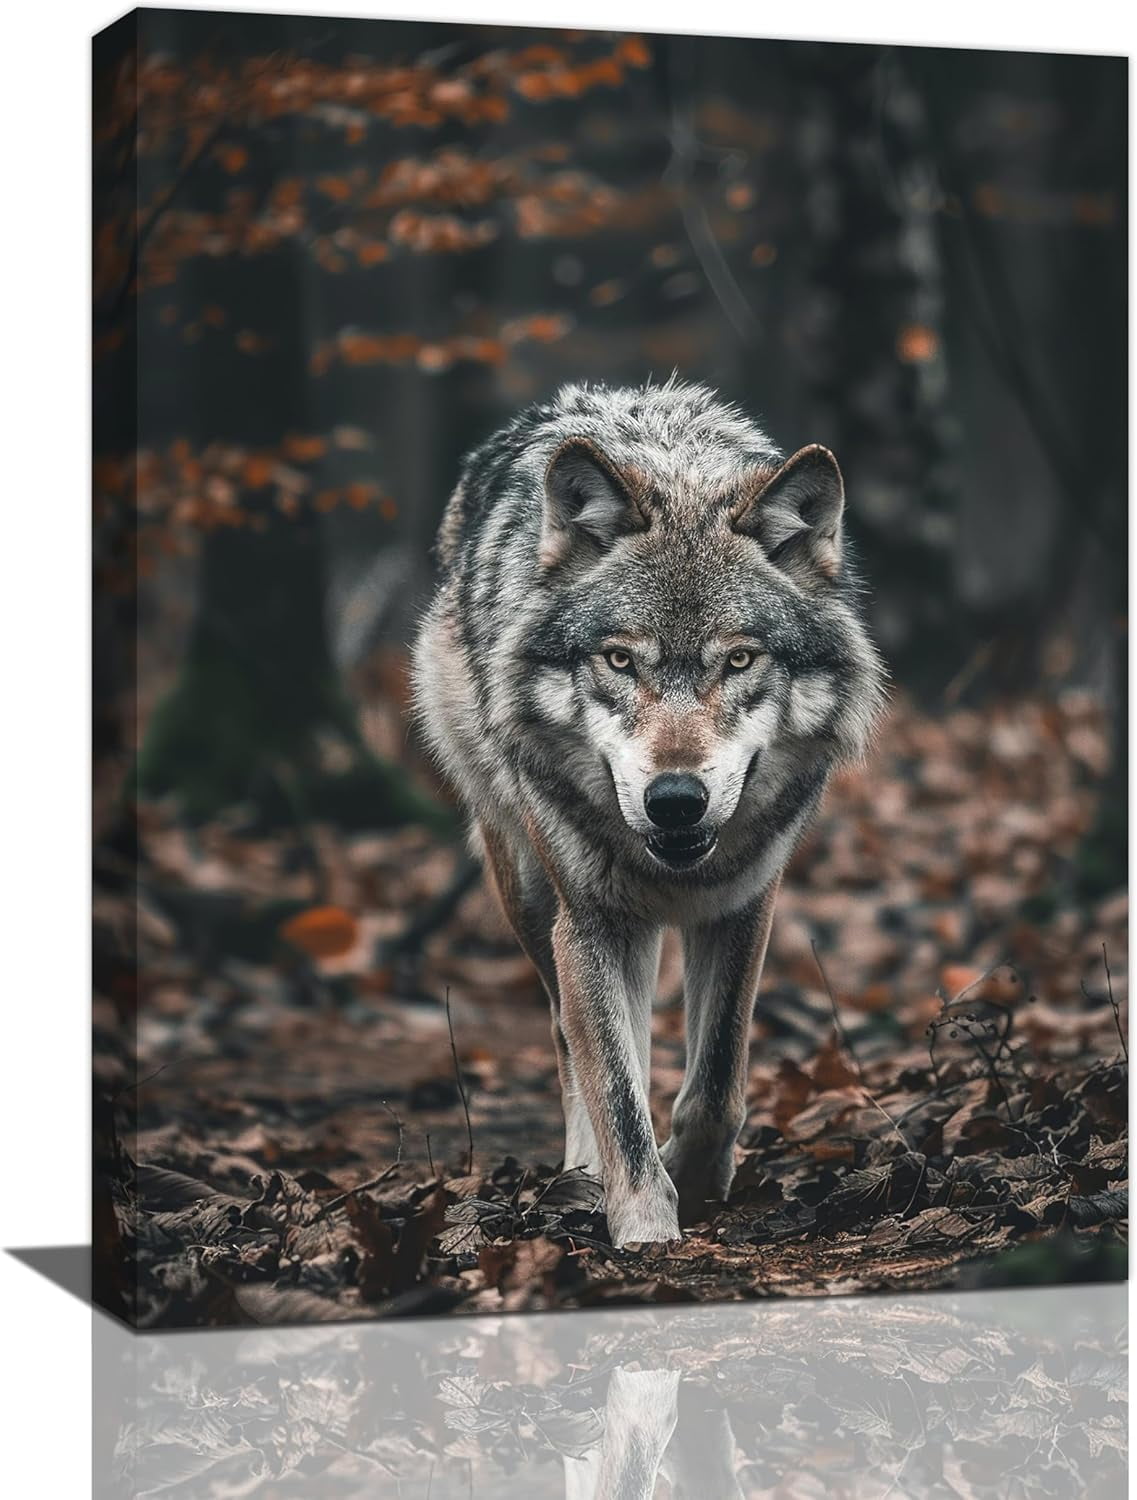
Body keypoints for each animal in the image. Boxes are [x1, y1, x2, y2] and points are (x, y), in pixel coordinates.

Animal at [412, 379, 886, 1246]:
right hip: (528, 888)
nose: (674, 801)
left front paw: (693, 1183)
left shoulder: (745, 904)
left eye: (739, 659)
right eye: (619, 659)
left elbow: (716, 1083)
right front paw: (642, 1222)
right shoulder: (590, 920)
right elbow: (616, 1089)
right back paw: (583, 1170)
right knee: (571, 1037)